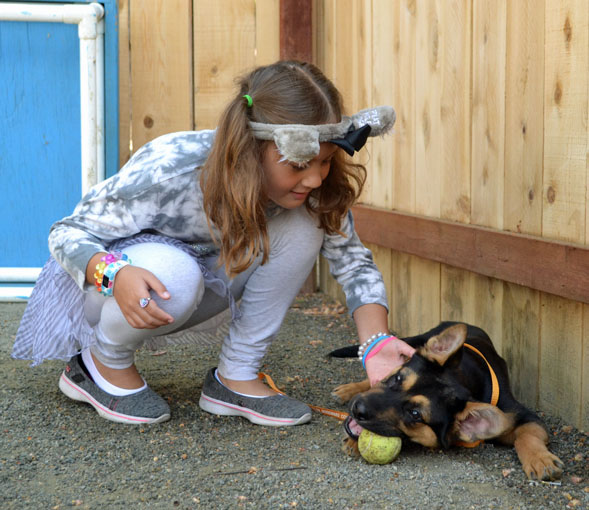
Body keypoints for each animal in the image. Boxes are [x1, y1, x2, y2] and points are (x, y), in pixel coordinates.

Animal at [334, 320, 564, 480]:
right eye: (399, 379)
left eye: (415, 414)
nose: (357, 409)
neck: (465, 380)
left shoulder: (525, 415)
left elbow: (526, 435)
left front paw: (540, 459)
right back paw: (348, 390)